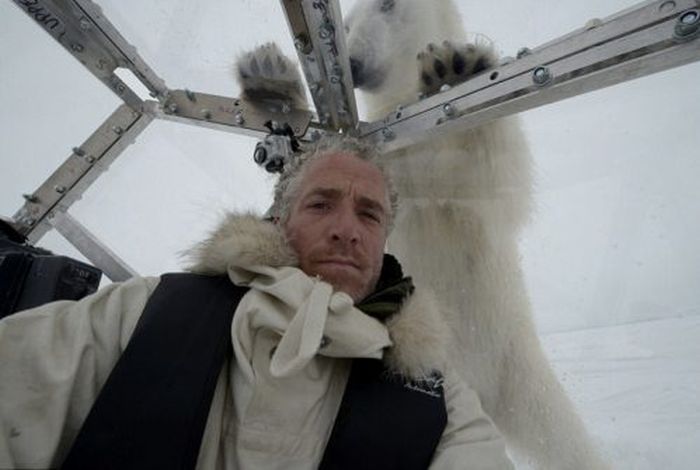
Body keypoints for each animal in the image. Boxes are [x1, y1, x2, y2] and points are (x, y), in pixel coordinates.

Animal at [235, 0, 608, 466]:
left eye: (388, 5)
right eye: (347, 24)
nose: (354, 63)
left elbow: (493, 178)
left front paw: (455, 68)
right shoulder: (387, 151)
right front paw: (269, 82)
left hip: (516, 366)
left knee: (563, 437)